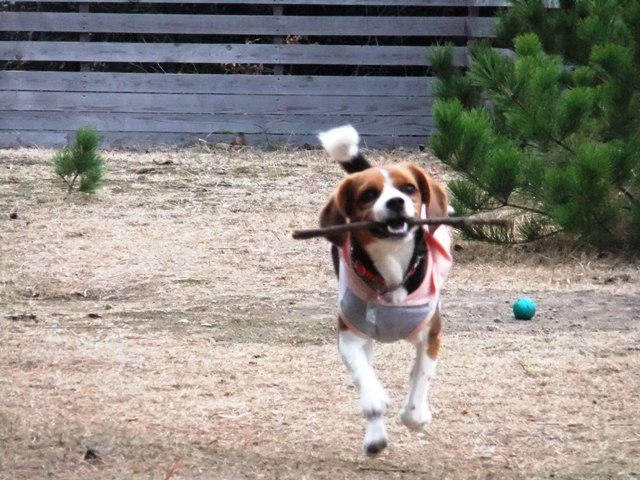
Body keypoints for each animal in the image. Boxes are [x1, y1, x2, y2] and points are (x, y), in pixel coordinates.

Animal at [318, 124, 452, 454]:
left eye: (408, 189)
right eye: (368, 195)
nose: (395, 202)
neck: (391, 264)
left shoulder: (431, 335)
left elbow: (419, 387)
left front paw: (417, 414)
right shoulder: (350, 336)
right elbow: (367, 384)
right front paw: (376, 415)